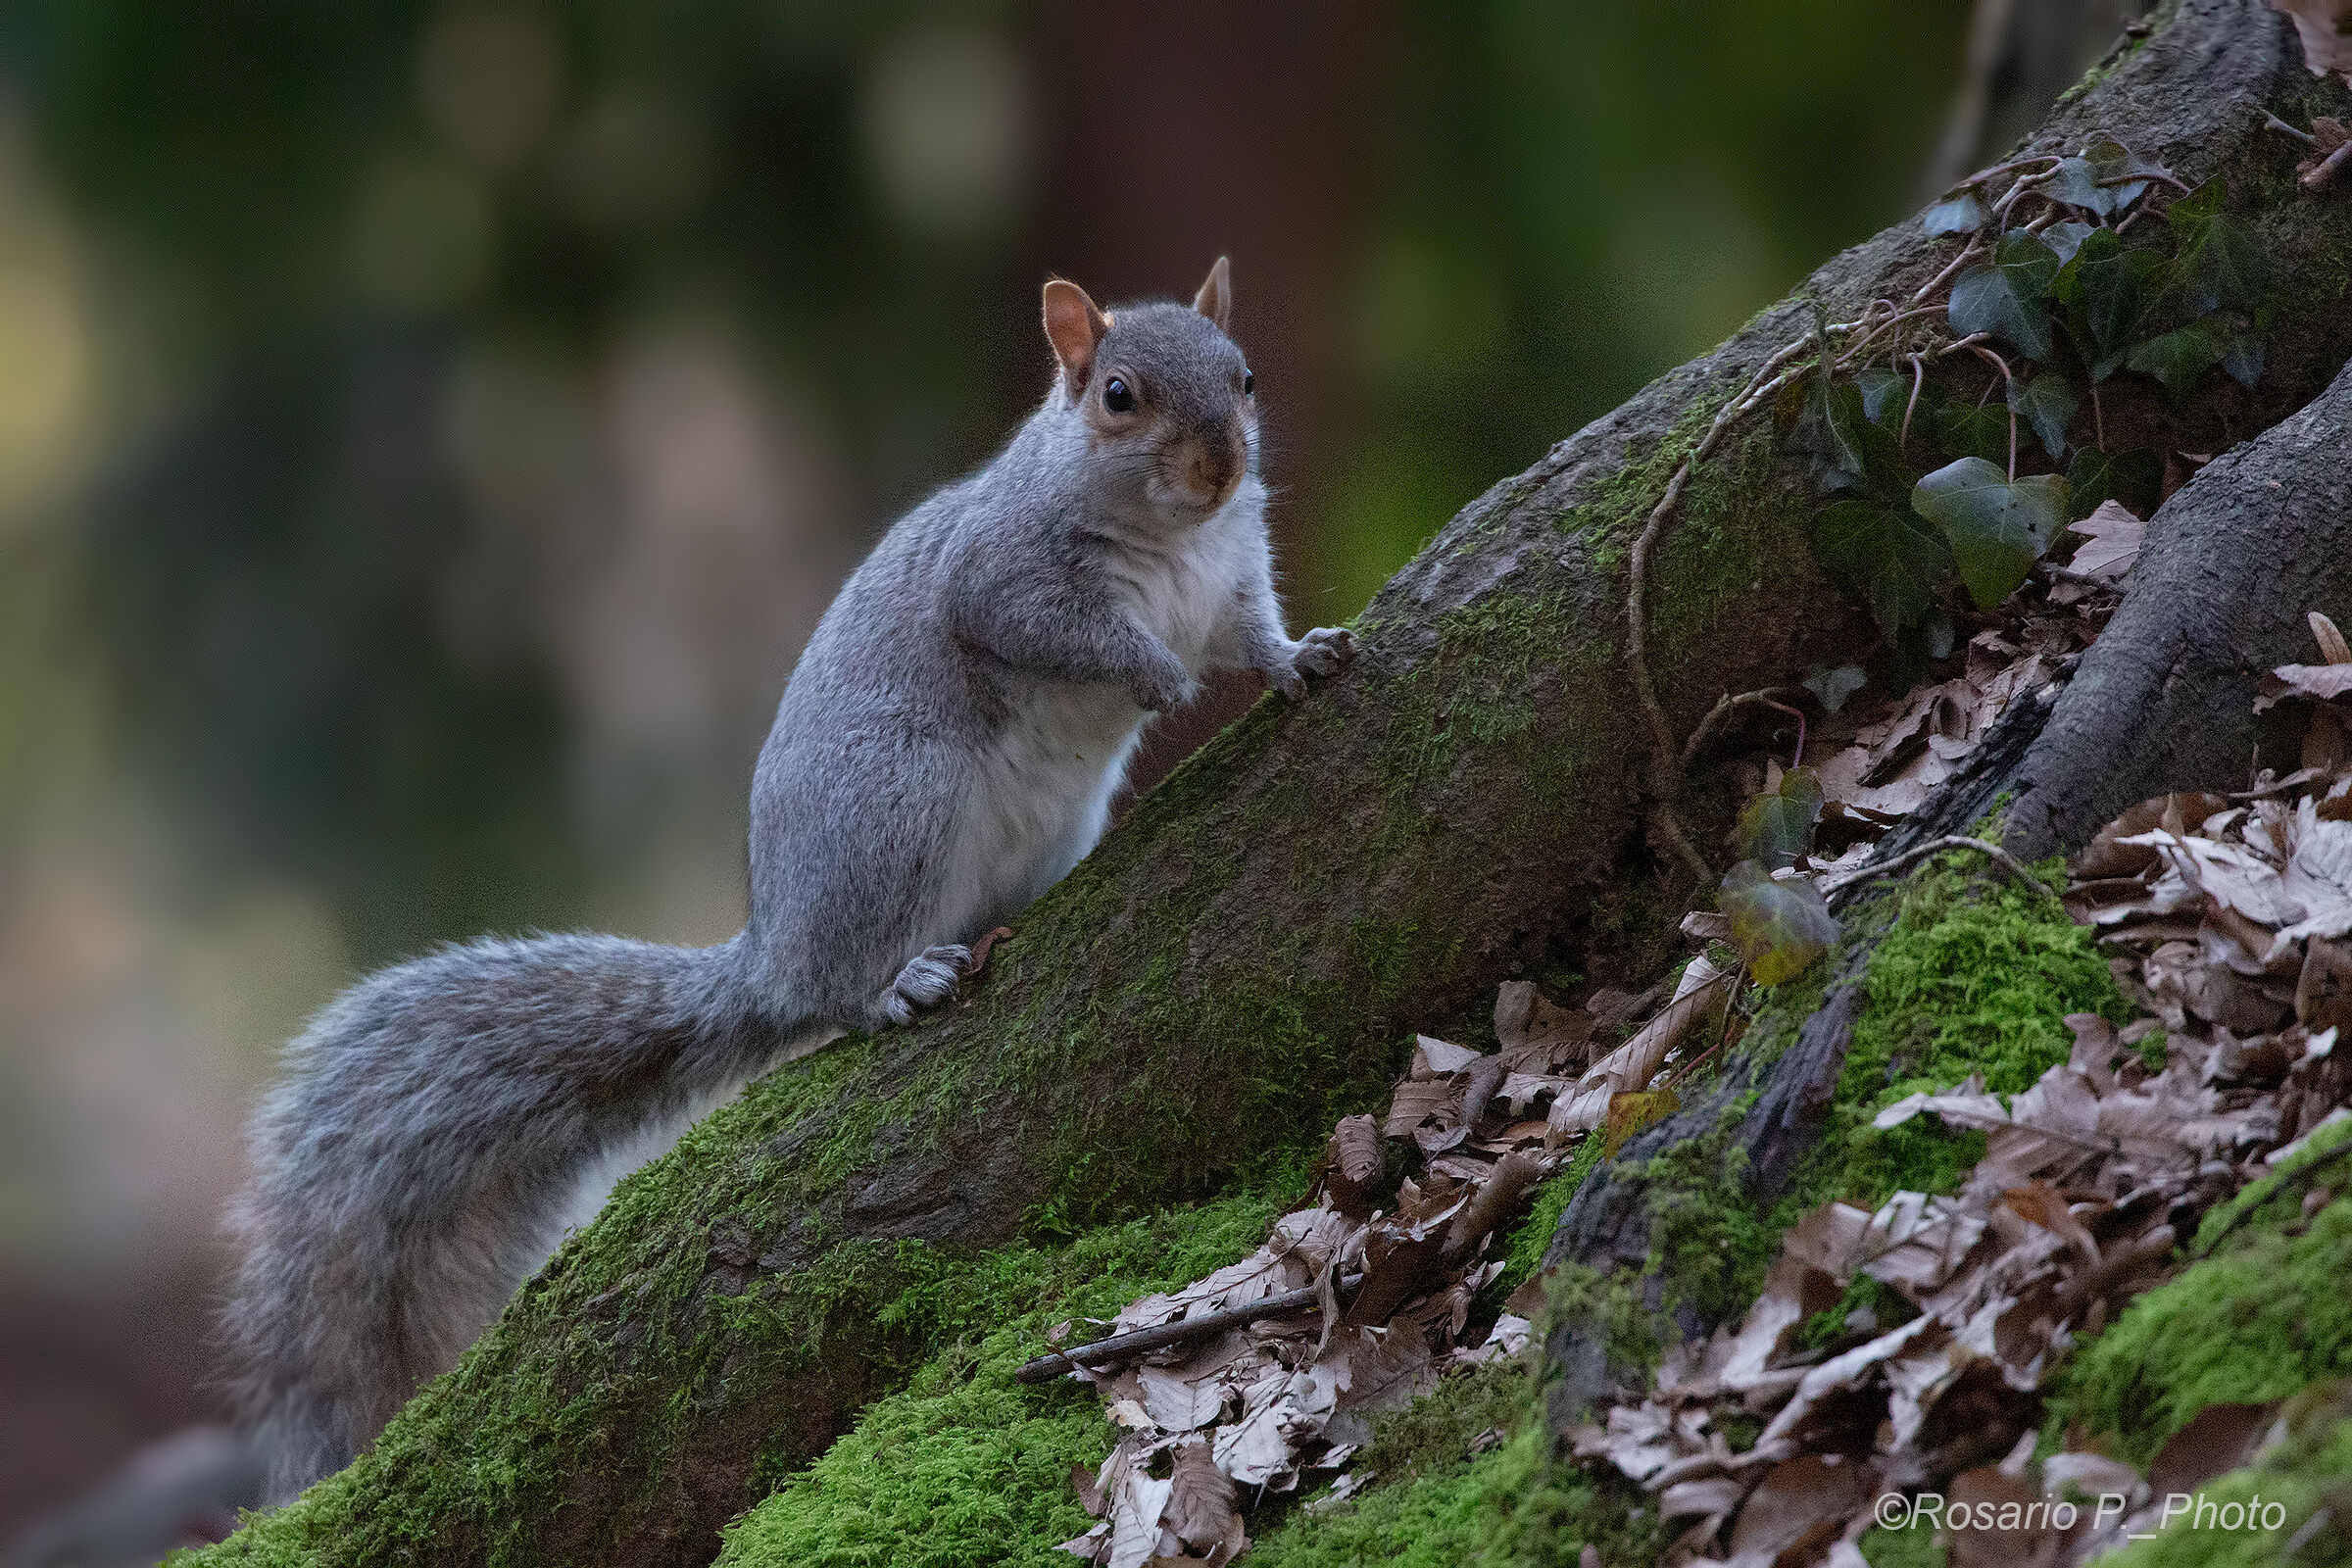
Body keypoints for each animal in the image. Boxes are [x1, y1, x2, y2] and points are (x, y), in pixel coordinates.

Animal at [219, 259, 1355, 1504]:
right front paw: (1152, 675)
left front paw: (1301, 660)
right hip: (895, 811)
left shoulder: (1230, 581)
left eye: (1242, 378)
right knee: (834, 991)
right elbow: (1054, 629)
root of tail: (770, 947)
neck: (1173, 537)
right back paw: (894, 984)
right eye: (1118, 395)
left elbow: (1254, 635)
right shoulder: (1003, 575)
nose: (1222, 466)